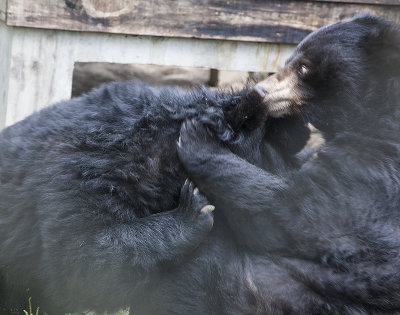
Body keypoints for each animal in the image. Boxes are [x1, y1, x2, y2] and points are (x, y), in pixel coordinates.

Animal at [177, 14, 400, 314]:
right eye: (288, 61)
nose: (259, 91)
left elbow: (295, 217)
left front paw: (198, 138)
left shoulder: (375, 170)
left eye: (303, 67)